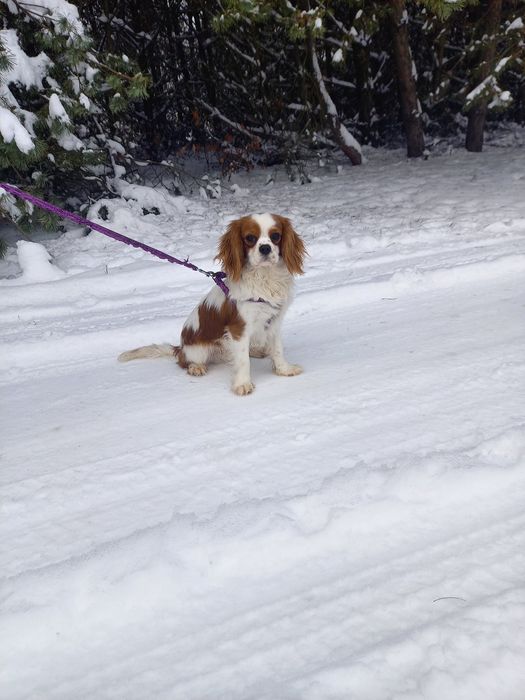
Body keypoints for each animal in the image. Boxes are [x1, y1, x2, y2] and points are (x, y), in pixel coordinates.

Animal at [117, 213, 308, 396]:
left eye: (276, 236)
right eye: (250, 238)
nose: (265, 248)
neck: (264, 277)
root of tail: (180, 348)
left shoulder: (274, 321)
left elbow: (277, 349)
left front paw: (284, 369)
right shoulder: (238, 328)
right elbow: (243, 360)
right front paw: (242, 384)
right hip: (198, 351)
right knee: (184, 362)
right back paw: (196, 367)